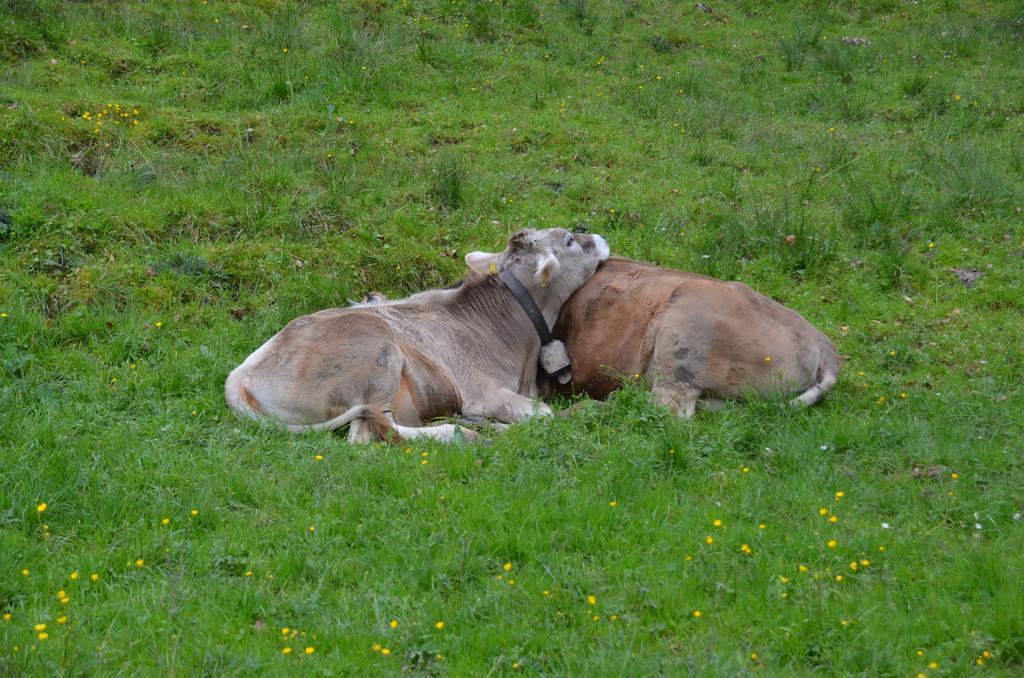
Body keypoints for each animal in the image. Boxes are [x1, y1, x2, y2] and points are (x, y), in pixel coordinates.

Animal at [224, 225, 606, 444]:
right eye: (570, 240)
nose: (598, 236)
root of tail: (239, 375)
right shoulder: (484, 393)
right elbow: (544, 415)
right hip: (377, 354)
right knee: (368, 434)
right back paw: (463, 432)